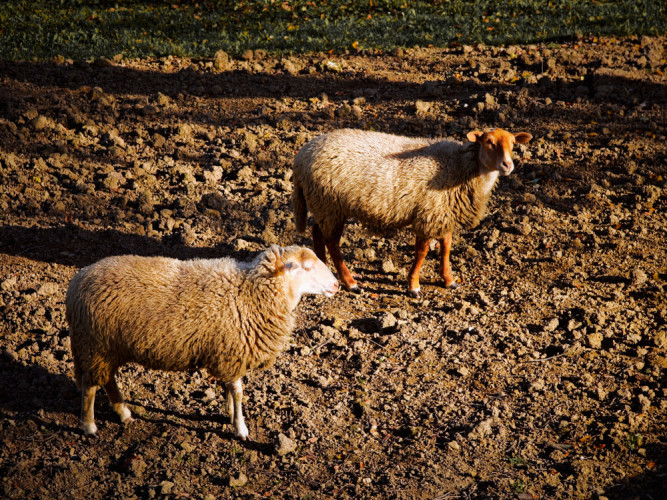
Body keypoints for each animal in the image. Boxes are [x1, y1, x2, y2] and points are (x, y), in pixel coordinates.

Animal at [65, 244, 340, 440]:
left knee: (107, 380)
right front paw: (240, 428)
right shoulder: (232, 352)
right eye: (307, 267)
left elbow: (230, 389)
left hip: (107, 348)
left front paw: (230, 415)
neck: (250, 293)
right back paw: (89, 426)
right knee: (90, 386)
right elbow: (238, 391)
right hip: (95, 345)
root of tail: (76, 283)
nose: (337, 285)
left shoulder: (227, 353)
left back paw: (124, 414)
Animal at [292, 127, 532, 296]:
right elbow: (422, 252)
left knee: (317, 233)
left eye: (513, 143)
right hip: (330, 205)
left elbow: (446, 247)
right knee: (332, 243)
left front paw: (449, 280)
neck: (462, 167)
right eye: (489, 142)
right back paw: (351, 283)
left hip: (324, 206)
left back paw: (323, 269)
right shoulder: (429, 214)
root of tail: (301, 156)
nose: (507, 165)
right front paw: (413, 286)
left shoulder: (443, 213)